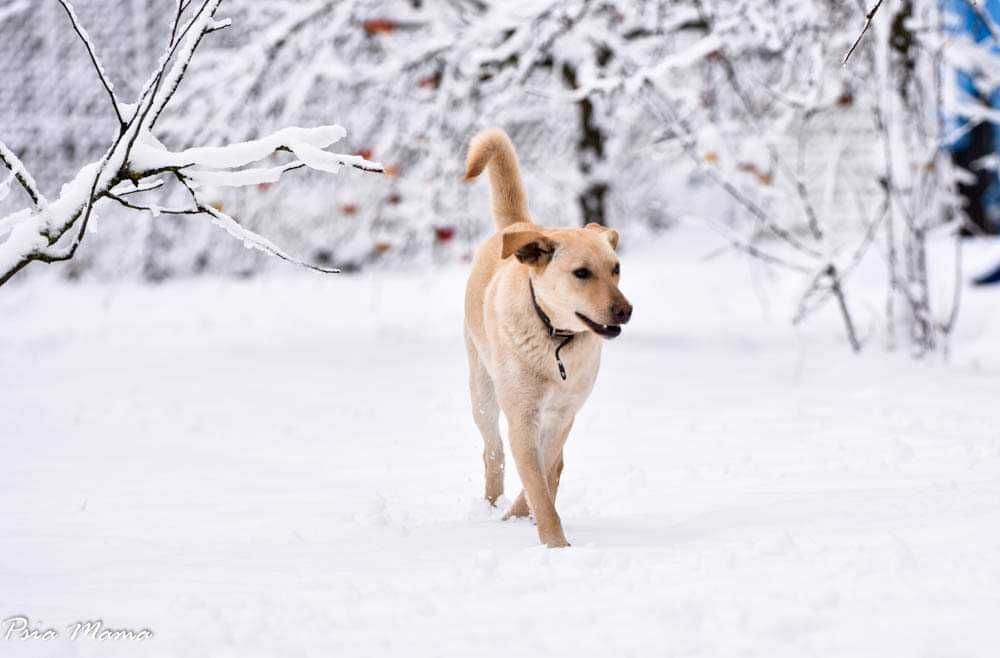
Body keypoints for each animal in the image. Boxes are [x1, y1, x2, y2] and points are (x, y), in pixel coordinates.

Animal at [462, 127, 632, 544]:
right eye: (582, 273)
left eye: (616, 268)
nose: (626, 310)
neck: (555, 337)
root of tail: (516, 227)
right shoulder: (522, 417)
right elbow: (535, 481)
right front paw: (555, 544)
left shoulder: (562, 416)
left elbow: (544, 473)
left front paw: (526, 519)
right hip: (483, 394)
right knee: (493, 453)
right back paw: (492, 507)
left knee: (554, 466)